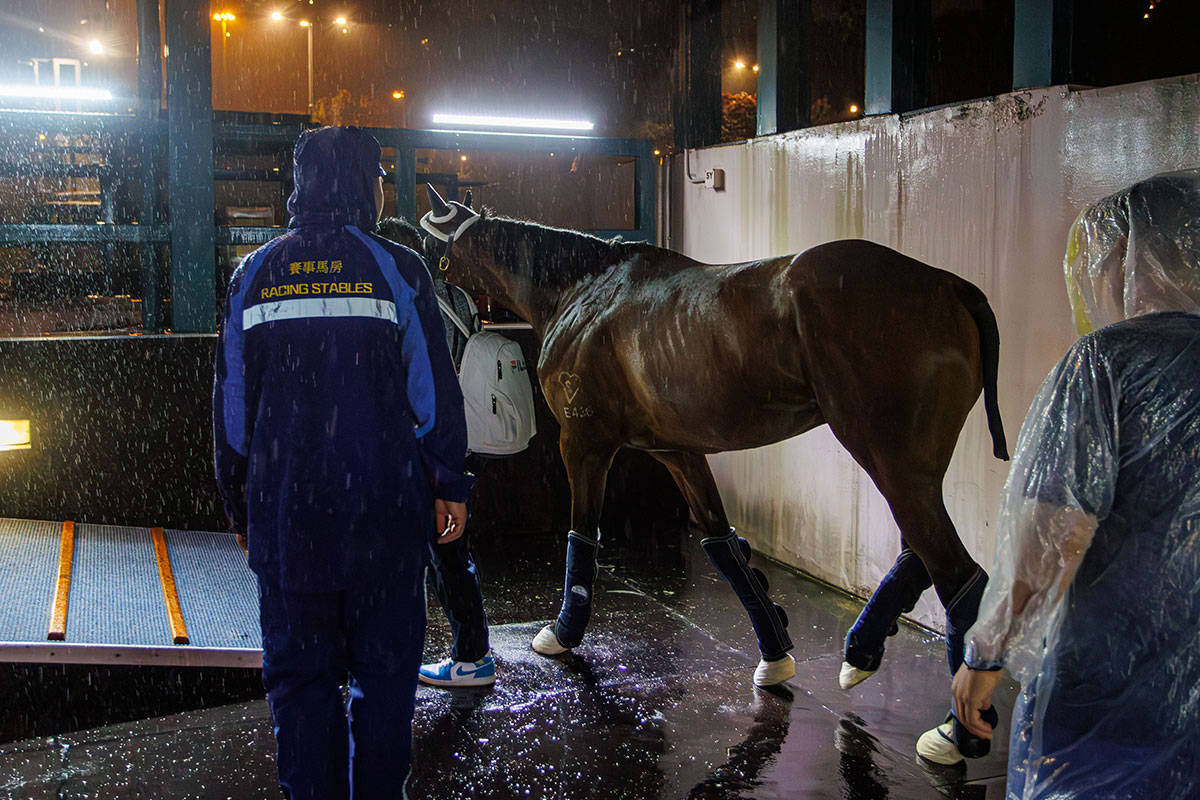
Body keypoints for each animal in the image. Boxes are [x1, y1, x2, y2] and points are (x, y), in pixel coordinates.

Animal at [381, 185, 1003, 690]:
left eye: (428, 250)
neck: (583, 293)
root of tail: (948, 285)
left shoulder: (583, 442)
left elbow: (582, 536)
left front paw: (562, 633)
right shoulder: (676, 450)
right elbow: (720, 542)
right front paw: (774, 652)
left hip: (887, 456)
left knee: (957, 573)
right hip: (910, 462)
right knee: (922, 551)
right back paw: (864, 649)